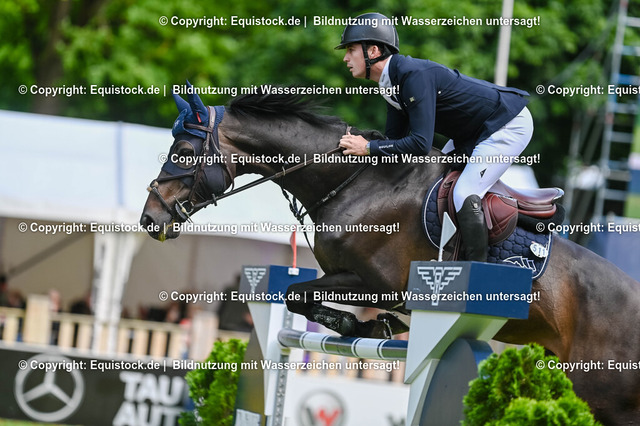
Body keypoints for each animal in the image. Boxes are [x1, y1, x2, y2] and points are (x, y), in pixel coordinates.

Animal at [140, 89, 640, 424]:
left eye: (183, 151)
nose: (149, 219)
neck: (353, 183)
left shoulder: (380, 284)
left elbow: (301, 293)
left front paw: (360, 324)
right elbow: (300, 296)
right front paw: (369, 327)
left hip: (605, 395)